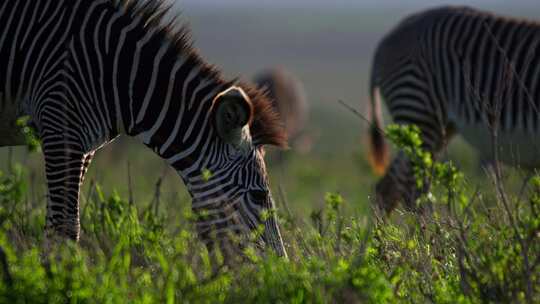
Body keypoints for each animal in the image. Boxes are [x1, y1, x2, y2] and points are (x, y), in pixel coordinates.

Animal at [0, 0, 288, 258]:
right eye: (259, 196)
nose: (278, 268)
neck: (116, 74)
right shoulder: (60, 125)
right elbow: (65, 228)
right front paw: (57, 278)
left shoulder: (82, 145)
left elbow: (55, 224)